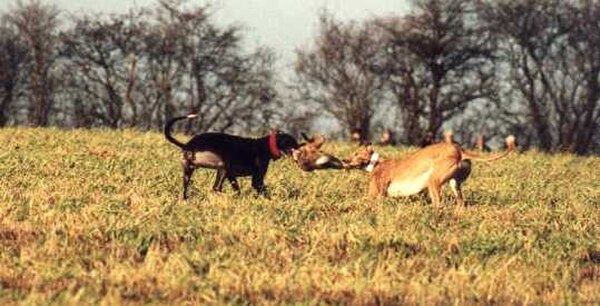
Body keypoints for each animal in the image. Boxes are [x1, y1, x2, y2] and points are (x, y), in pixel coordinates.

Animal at [165, 114, 298, 198]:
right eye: (292, 143)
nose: (300, 149)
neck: (266, 145)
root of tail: (189, 145)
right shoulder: (256, 179)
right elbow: (262, 190)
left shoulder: (232, 176)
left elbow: (237, 189)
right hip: (222, 167)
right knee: (216, 188)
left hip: (190, 171)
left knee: (191, 189)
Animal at [342, 136, 516, 206]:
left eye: (356, 154)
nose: (343, 160)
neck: (376, 162)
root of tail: (459, 149)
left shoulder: (374, 195)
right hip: (455, 185)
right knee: (460, 203)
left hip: (433, 182)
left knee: (439, 205)